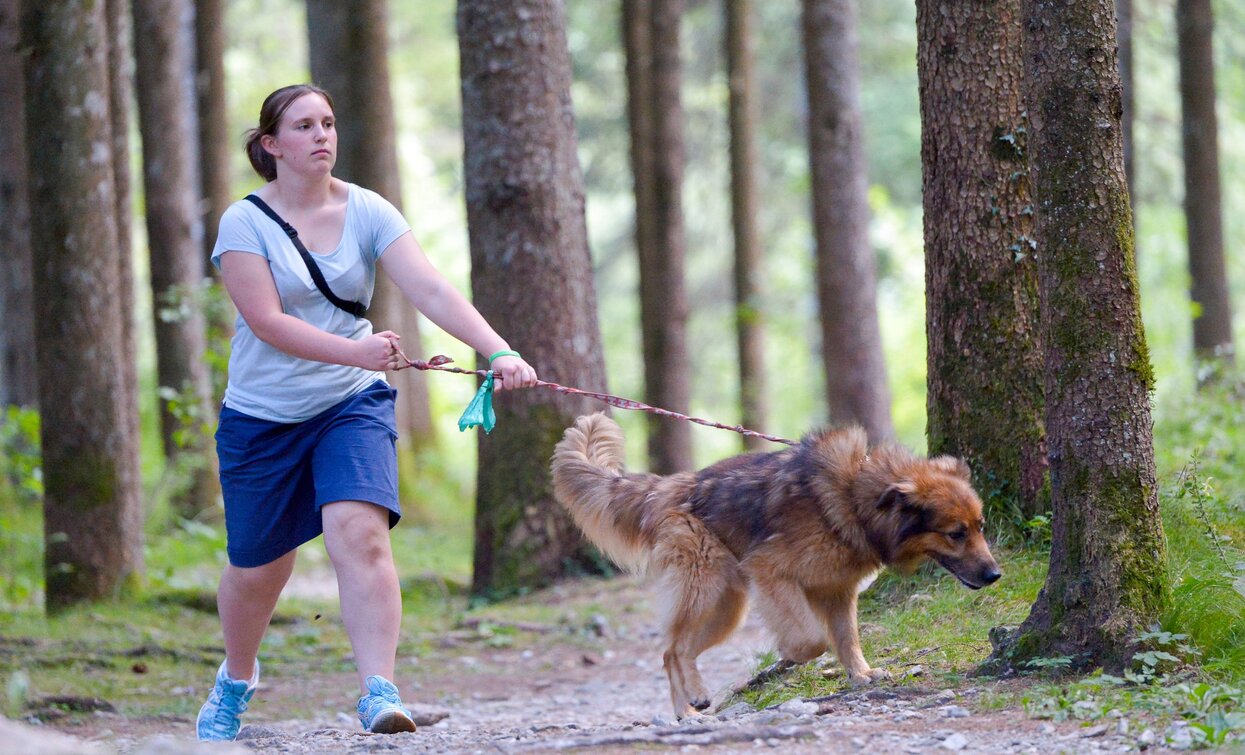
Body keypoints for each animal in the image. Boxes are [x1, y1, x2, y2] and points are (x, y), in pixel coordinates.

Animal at [555, 413, 1000, 722]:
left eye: (980, 527)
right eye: (955, 533)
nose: (995, 575)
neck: (856, 496)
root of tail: (669, 486)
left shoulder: (838, 591)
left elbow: (847, 638)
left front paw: (861, 675)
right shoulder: (771, 571)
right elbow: (811, 641)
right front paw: (787, 655)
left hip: (726, 609)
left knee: (675, 650)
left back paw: (689, 708)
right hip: (704, 589)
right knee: (673, 649)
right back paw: (691, 703)